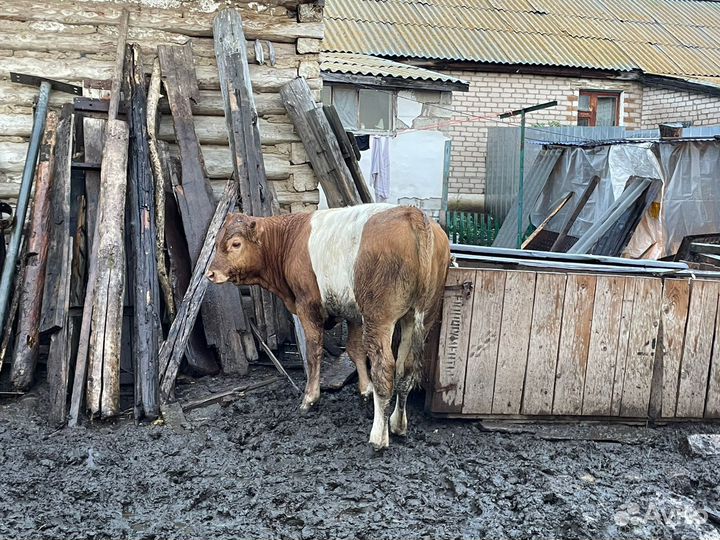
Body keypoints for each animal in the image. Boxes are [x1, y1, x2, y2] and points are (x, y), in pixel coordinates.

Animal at [206, 203, 451, 450]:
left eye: (236, 244)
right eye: (216, 242)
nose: (211, 273)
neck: (289, 238)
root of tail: (412, 213)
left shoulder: (307, 305)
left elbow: (314, 353)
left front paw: (309, 399)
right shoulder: (354, 314)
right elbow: (354, 350)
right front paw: (365, 389)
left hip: (379, 318)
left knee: (384, 368)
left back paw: (378, 436)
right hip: (421, 316)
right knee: (405, 368)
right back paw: (398, 424)